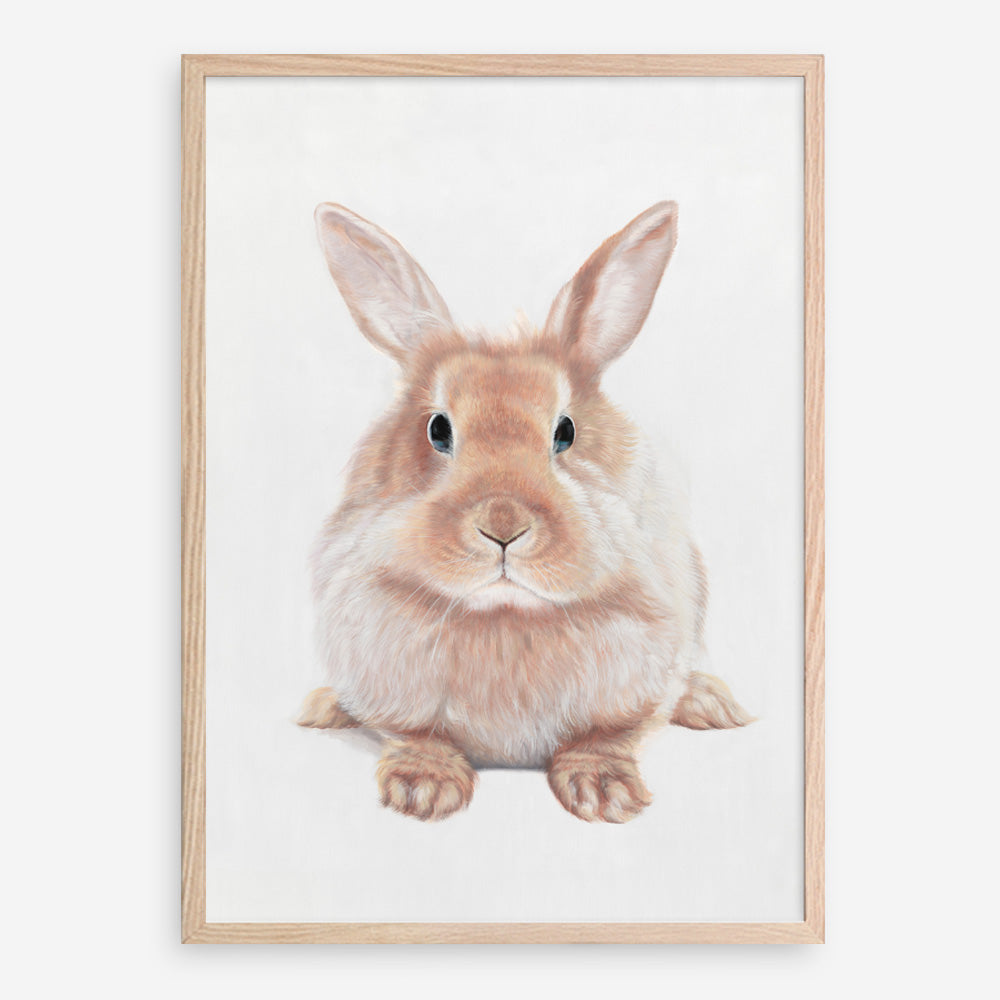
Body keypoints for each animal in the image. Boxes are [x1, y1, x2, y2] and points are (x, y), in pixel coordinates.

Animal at [298, 201, 753, 823]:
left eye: (566, 431)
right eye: (437, 429)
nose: (503, 526)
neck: (505, 615)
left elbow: (606, 736)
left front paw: (605, 794)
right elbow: (416, 735)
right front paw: (423, 789)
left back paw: (713, 703)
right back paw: (323, 707)